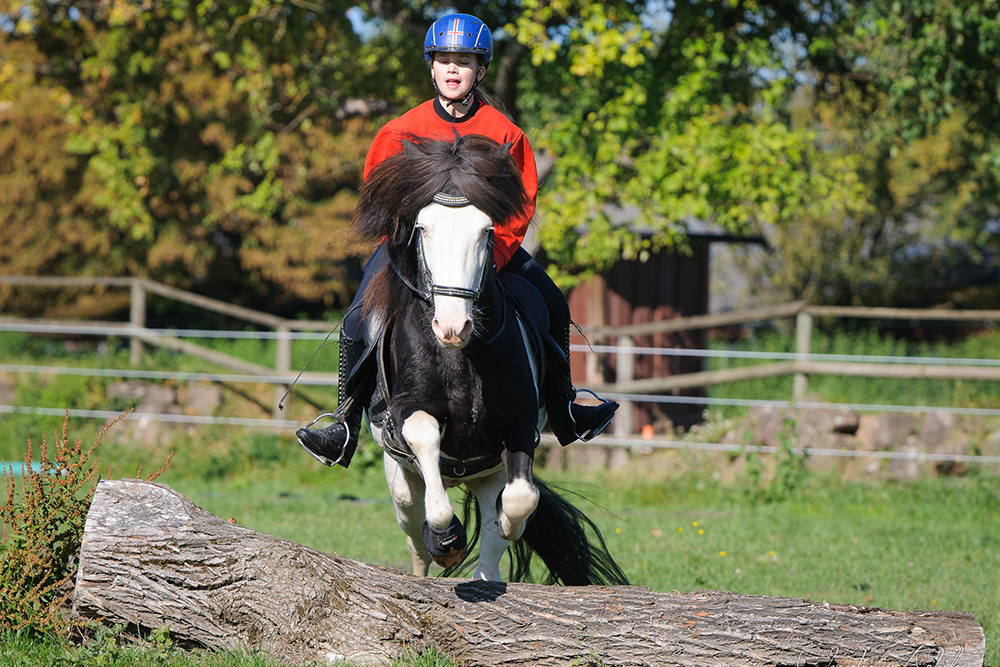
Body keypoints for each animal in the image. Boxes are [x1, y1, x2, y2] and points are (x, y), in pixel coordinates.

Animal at [354, 132, 624, 584]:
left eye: (486, 230)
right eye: (422, 228)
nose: (452, 326)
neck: (460, 358)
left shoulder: (519, 426)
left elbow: (519, 503)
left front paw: (507, 523)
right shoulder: (410, 410)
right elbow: (427, 444)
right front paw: (446, 538)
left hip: (486, 474)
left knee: (491, 546)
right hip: (401, 480)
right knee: (413, 529)